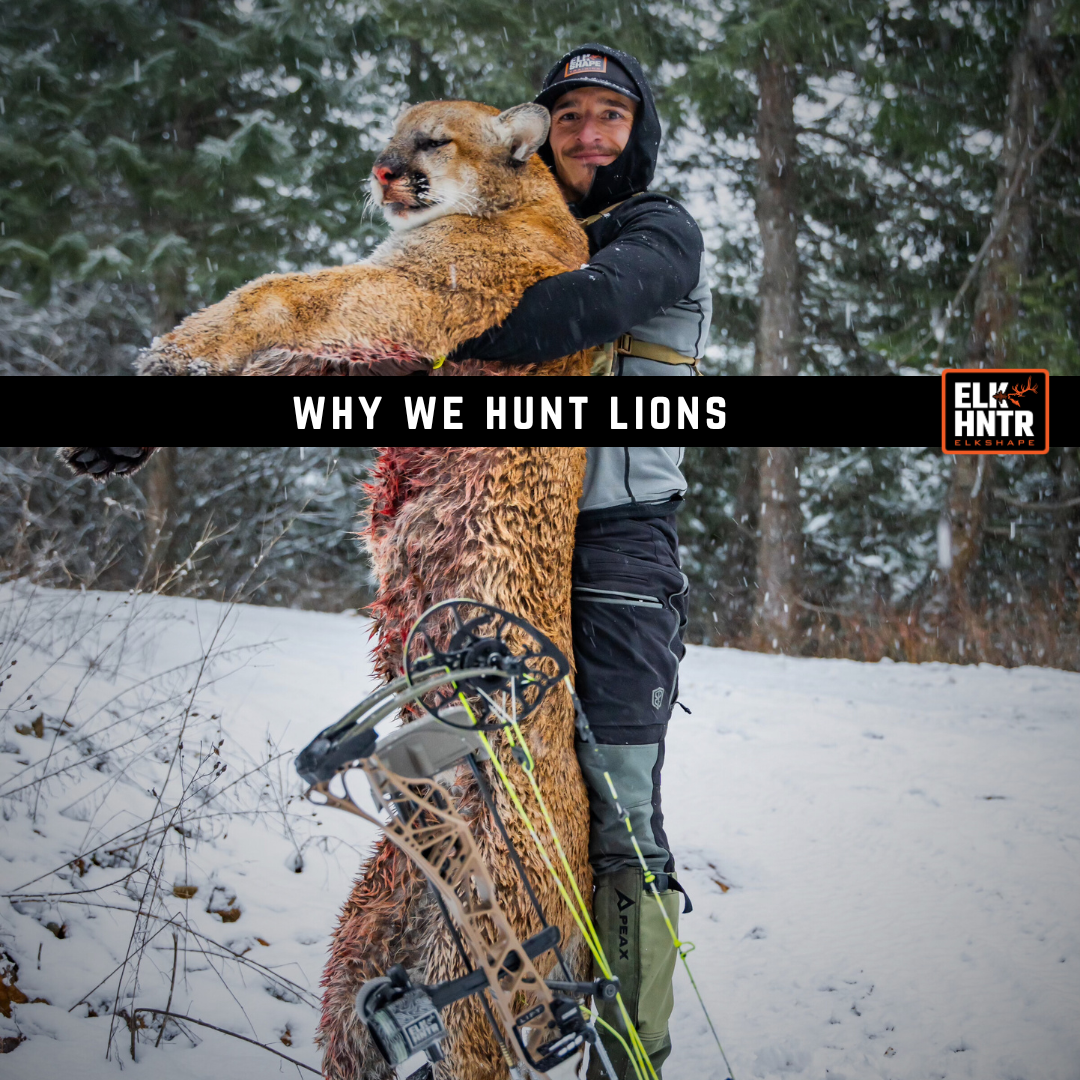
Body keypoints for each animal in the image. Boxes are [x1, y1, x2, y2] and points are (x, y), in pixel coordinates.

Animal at [137, 99, 591, 376]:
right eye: (391, 138)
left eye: (434, 141)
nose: (380, 171)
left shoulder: (425, 289)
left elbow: (274, 290)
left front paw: (178, 352)